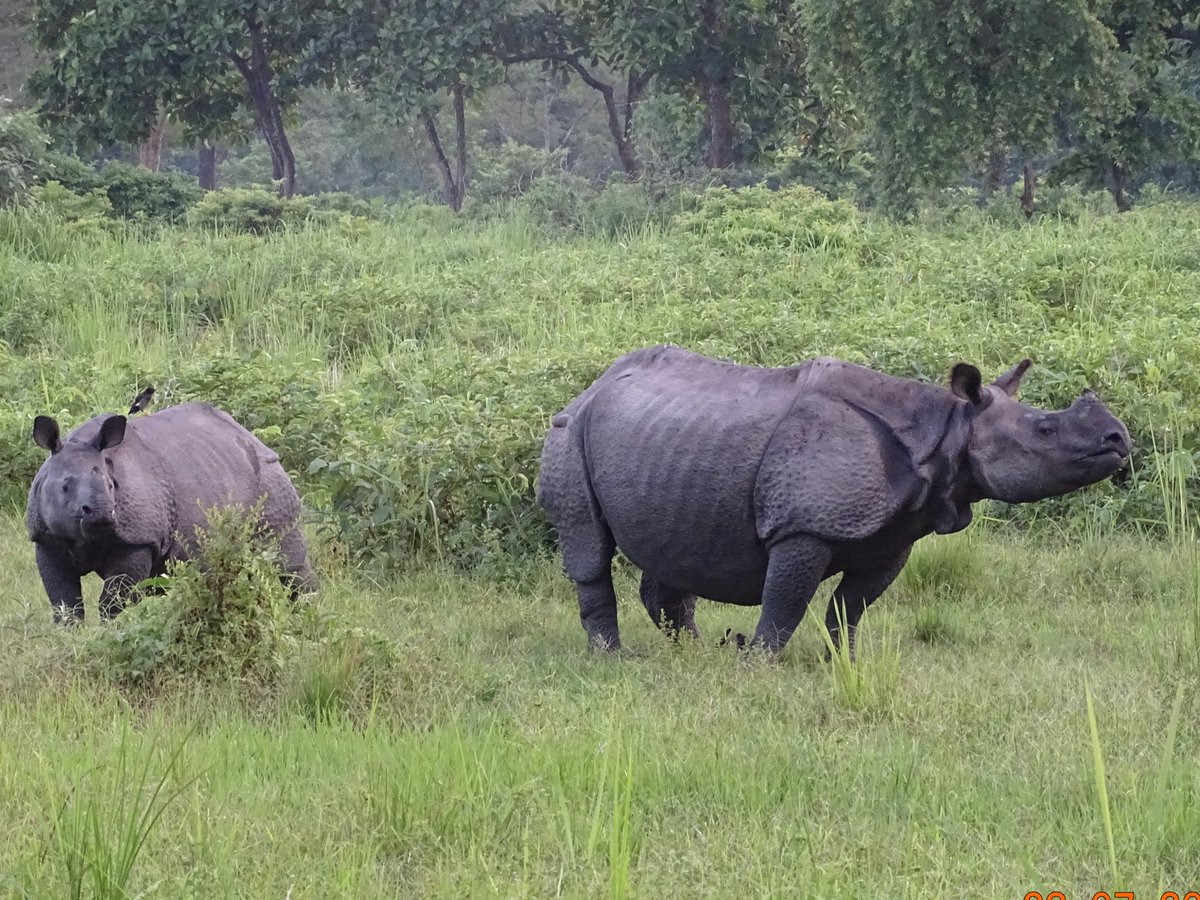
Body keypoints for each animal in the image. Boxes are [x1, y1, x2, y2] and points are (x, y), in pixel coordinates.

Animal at [26, 402, 315, 622]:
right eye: (65, 486)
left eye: (111, 485)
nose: (102, 513)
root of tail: (255, 439)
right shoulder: (45, 539)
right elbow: (65, 604)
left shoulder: (138, 541)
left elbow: (113, 603)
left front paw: (111, 633)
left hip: (269, 480)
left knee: (287, 565)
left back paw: (308, 617)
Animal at [538, 346, 1130, 656]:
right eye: (1045, 430)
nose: (1119, 439)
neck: (945, 429)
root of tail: (592, 385)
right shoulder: (804, 527)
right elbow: (786, 601)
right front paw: (758, 662)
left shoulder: (896, 535)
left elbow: (851, 607)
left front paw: (841, 663)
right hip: (569, 432)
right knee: (589, 547)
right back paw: (613, 658)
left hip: (663, 444)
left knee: (670, 549)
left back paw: (691, 651)